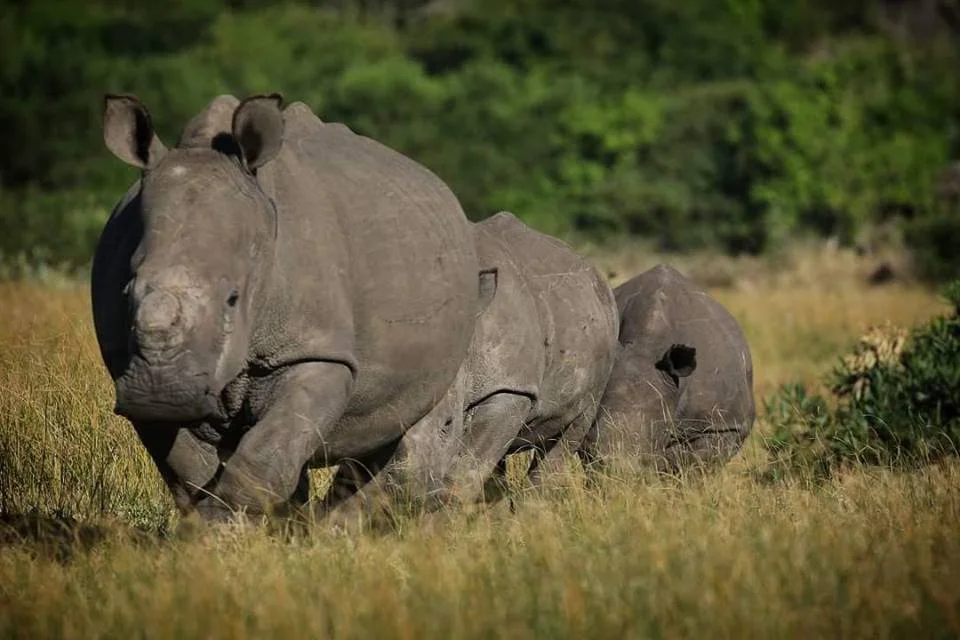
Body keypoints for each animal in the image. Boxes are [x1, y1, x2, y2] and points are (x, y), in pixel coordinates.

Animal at [91, 93, 482, 522]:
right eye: (126, 291)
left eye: (233, 298)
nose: (161, 390)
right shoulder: (127, 368)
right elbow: (188, 469)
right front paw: (213, 527)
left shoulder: (317, 350)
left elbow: (265, 455)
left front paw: (230, 526)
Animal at [322, 212, 619, 516]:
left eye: (447, 425)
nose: (398, 490)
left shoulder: (510, 388)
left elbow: (466, 470)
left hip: (604, 327)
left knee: (570, 431)